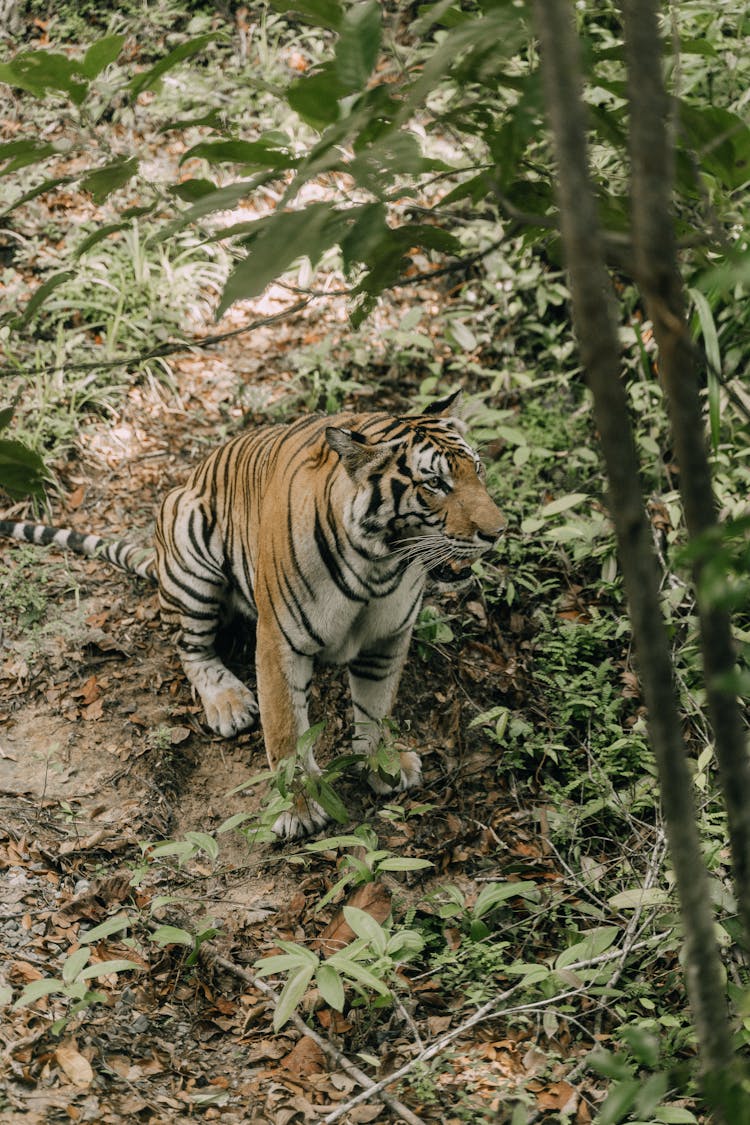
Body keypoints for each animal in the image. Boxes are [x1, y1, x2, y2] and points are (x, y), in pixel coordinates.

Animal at [1, 393, 503, 837]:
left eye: (477, 470)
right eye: (434, 484)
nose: (499, 532)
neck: (381, 567)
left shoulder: (387, 638)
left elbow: (376, 710)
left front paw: (385, 765)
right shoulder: (280, 639)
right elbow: (285, 732)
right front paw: (298, 809)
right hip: (189, 543)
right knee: (191, 648)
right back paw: (228, 703)